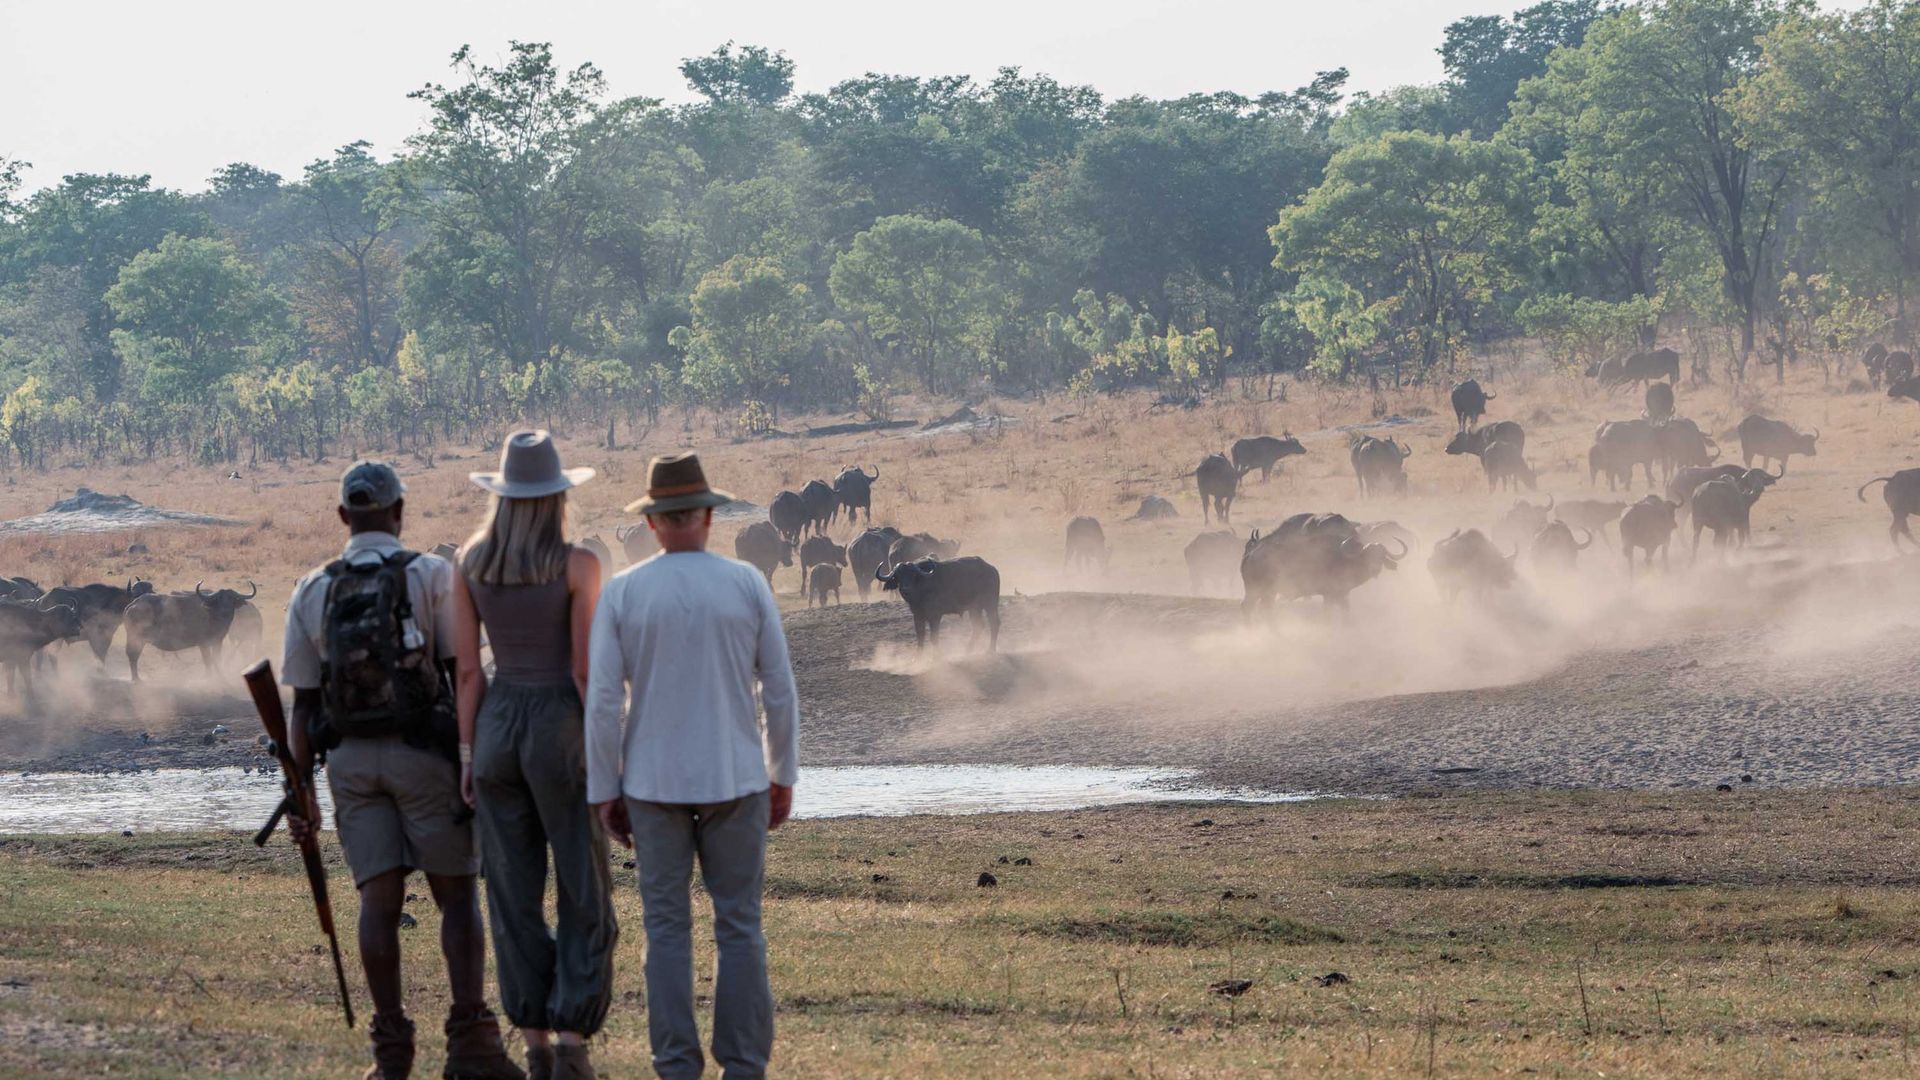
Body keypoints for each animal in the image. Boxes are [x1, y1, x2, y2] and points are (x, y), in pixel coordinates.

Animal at [123, 580, 259, 680]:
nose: (225, 611)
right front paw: (209, 677)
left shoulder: (217, 641)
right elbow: (207, 660)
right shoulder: (203, 644)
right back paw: (136, 679)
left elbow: (217, 659)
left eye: (232, 599)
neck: (211, 615)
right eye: (219, 600)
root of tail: (133, 604)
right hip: (136, 638)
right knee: (133, 655)